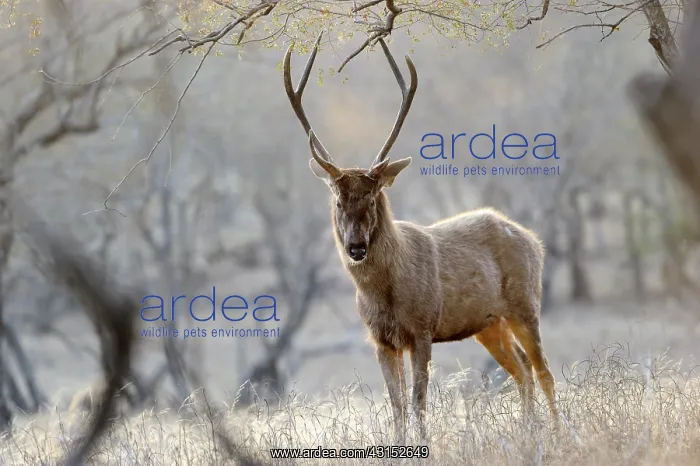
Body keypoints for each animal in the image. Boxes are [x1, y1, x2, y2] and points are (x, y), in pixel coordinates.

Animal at [282, 33, 559, 442]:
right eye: (337, 198)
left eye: (373, 196)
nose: (356, 247)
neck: (385, 295)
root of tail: (534, 241)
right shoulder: (381, 339)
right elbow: (396, 407)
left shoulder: (423, 329)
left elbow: (417, 402)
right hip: (489, 322)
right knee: (522, 371)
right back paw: (529, 433)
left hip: (525, 303)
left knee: (543, 371)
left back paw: (559, 433)